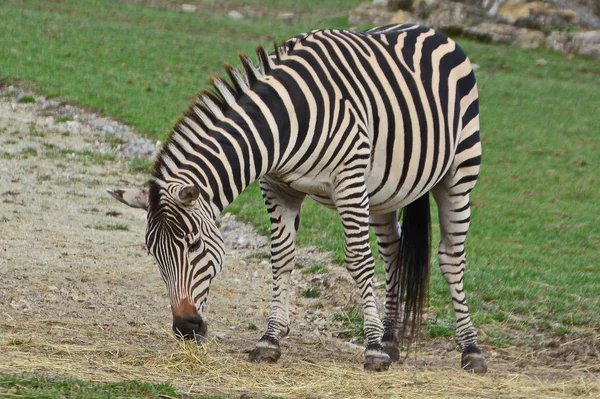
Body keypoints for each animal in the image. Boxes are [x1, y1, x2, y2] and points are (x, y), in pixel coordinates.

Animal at [109, 23, 488, 374]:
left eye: (194, 245)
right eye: (153, 254)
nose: (186, 328)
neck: (284, 120)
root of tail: (427, 28)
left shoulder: (349, 180)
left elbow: (358, 260)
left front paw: (372, 350)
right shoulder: (278, 186)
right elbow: (281, 257)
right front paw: (270, 339)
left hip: (459, 169)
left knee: (451, 258)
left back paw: (469, 351)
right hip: (386, 189)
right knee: (393, 251)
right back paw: (391, 340)